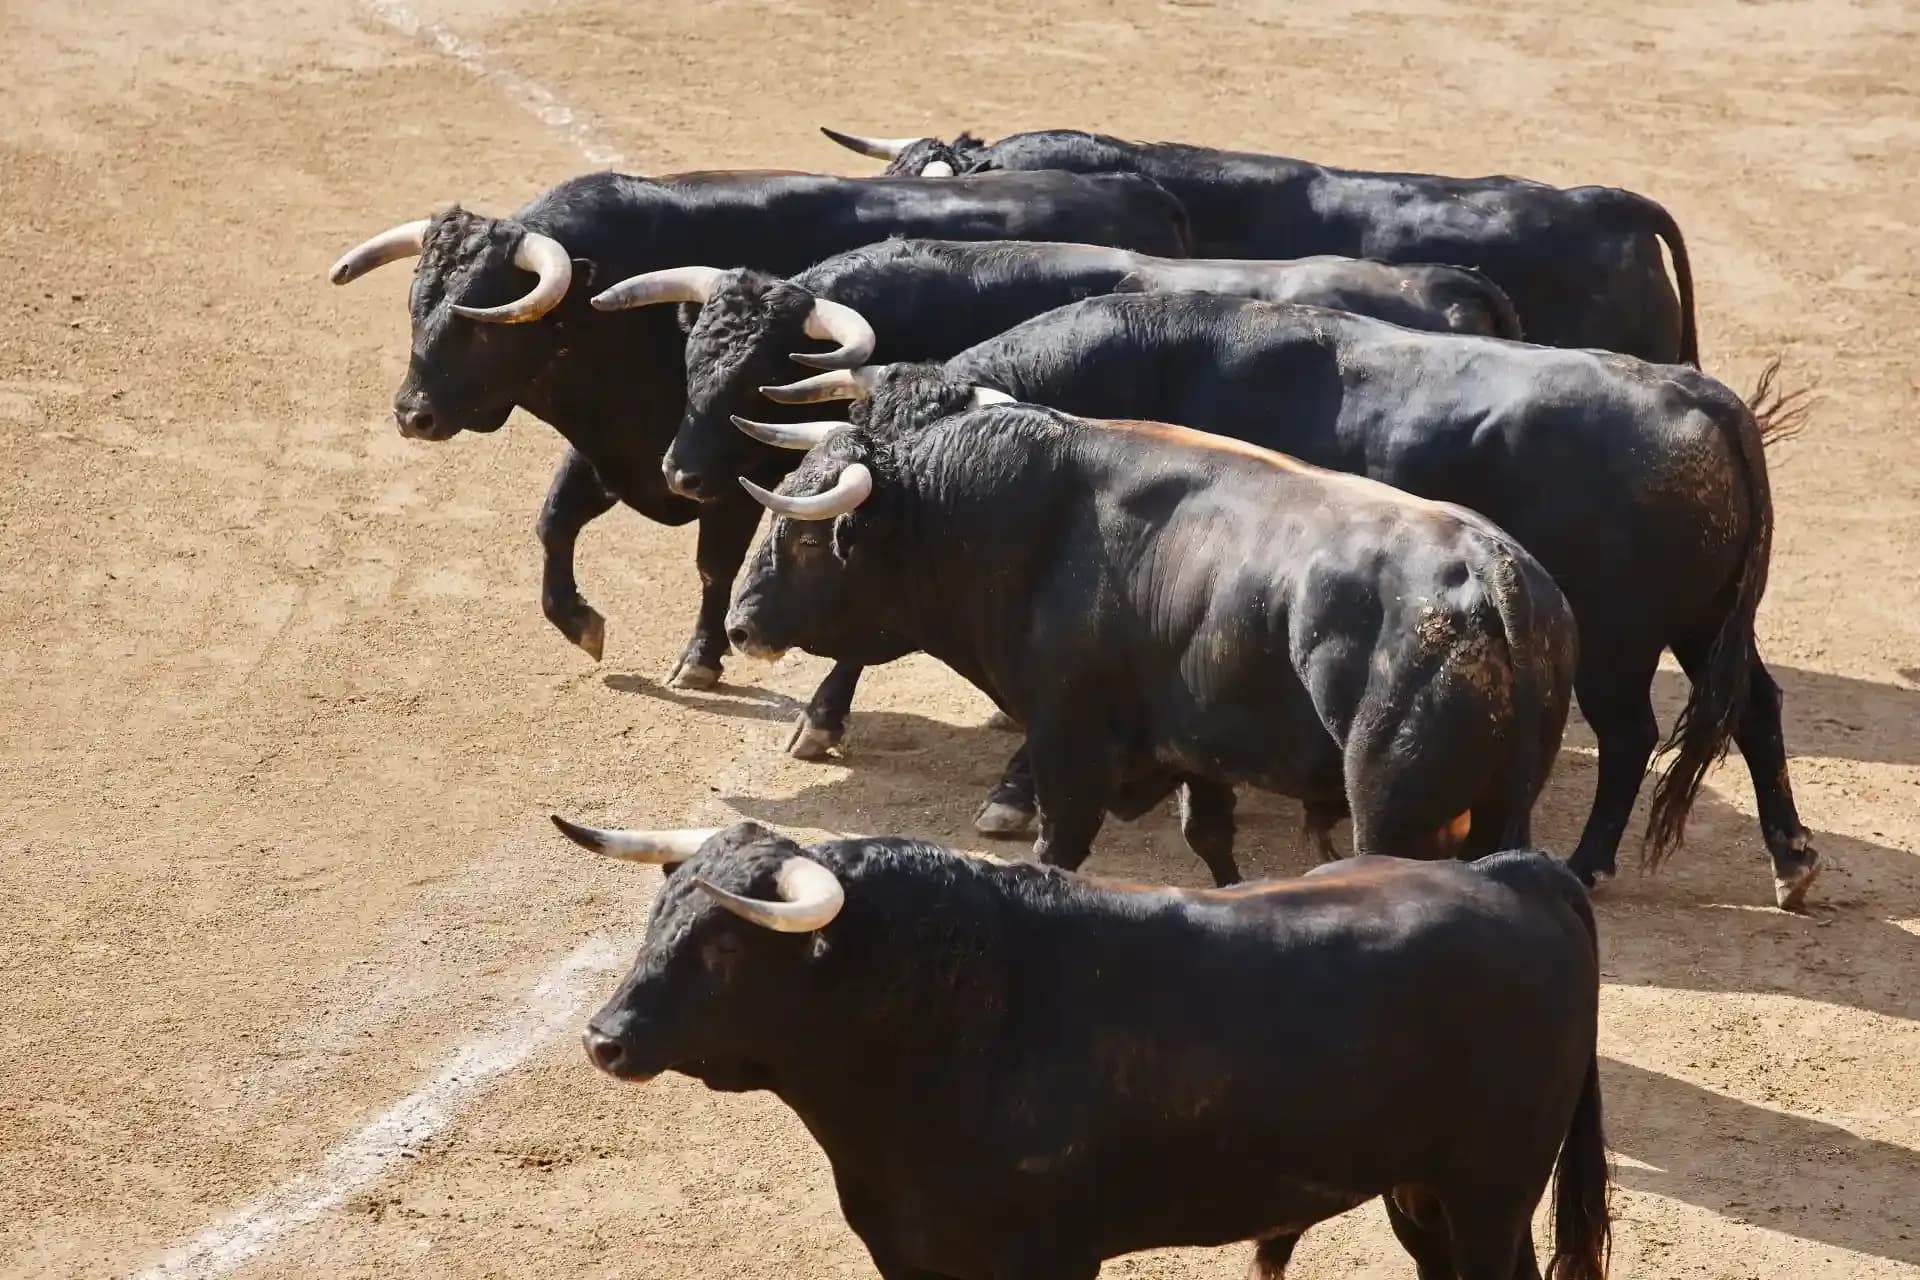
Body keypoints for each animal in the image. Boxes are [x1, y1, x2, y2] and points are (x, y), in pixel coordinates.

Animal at [326, 168, 1189, 686]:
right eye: (417, 305)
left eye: (481, 325)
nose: (411, 414)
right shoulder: (630, 452)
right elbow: (553, 520)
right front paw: (580, 623)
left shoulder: (736, 480)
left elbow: (715, 566)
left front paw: (699, 661)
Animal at [555, 815, 1612, 1280]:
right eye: (657, 912)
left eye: (726, 947)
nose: (604, 1038)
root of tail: (1513, 872)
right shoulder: (907, 1253)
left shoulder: (1049, 1258)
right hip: (1422, 1190)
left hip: (1493, 1187)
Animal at [724, 403, 1577, 884]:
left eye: (807, 541)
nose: (737, 626)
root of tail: (1491, 569)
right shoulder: (1199, 748)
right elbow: (1210, 839)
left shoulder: (1067, 739)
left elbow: (1060, 844)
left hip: (1394, 813)